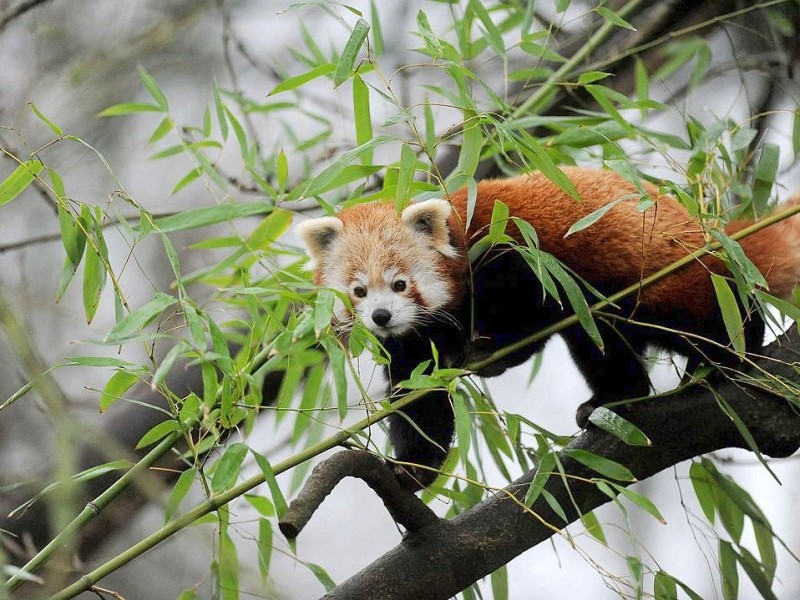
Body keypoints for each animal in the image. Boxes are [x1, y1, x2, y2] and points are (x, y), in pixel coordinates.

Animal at [296, 166, 800, 490]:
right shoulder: (414, 342)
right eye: (359, 291)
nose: (382, 317)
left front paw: (490, 352)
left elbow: (531, 309)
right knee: (604, 349)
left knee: (702, 317)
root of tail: (715, 237)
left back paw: (731, 352)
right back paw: (613, 398)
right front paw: (413, 467)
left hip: (667, 279)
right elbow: (420, 399)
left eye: (400, 283)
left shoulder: (521, 252)